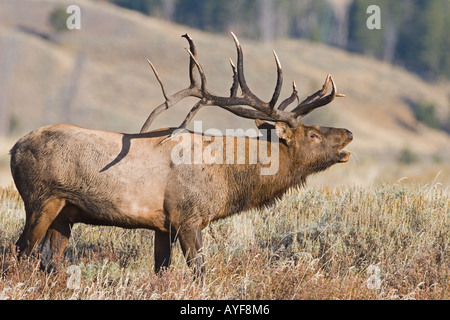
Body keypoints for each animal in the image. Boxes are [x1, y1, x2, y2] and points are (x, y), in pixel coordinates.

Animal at [7, 33, 352, 278]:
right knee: (19, 252)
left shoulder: (163, 226)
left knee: (48, 261)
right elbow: (199, 271)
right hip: (41, 199)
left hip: (65, 213)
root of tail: (14, 149)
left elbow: (161, 271)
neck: (227, 181)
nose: (348, 132)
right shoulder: (188, 216)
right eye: (313, 135)